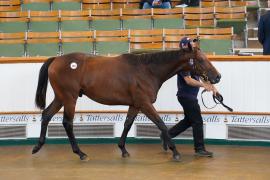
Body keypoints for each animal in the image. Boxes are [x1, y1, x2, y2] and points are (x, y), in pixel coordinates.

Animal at [32, 46, 220, 162]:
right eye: (201, 59)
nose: (217, 77)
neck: (147, 70)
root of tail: (56, 60)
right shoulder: (145, 104)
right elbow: (161, 124)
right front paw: (175, 151)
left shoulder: (135, 105)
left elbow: (128, 124)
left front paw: (123, 149)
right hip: (69, 98)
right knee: (67, 123)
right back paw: (80, 153)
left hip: (60, 97)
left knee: (46, 115)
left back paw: (37, 147)